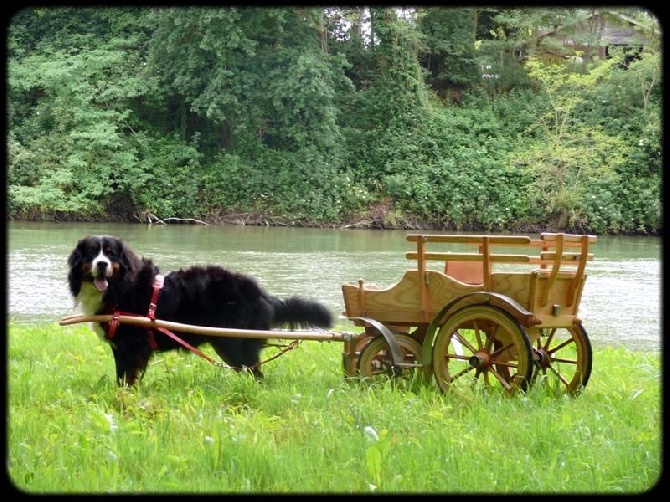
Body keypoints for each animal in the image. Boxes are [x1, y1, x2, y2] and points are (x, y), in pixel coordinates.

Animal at [67, 234, 334, 384]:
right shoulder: (120, 347)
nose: (102, 264)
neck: (120, 287)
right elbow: (120, 376)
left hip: (233, 344)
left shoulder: (133, 346)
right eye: (92, 252)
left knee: (255, 374)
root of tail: (264, 295)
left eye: (111, 254)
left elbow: (128, 379)